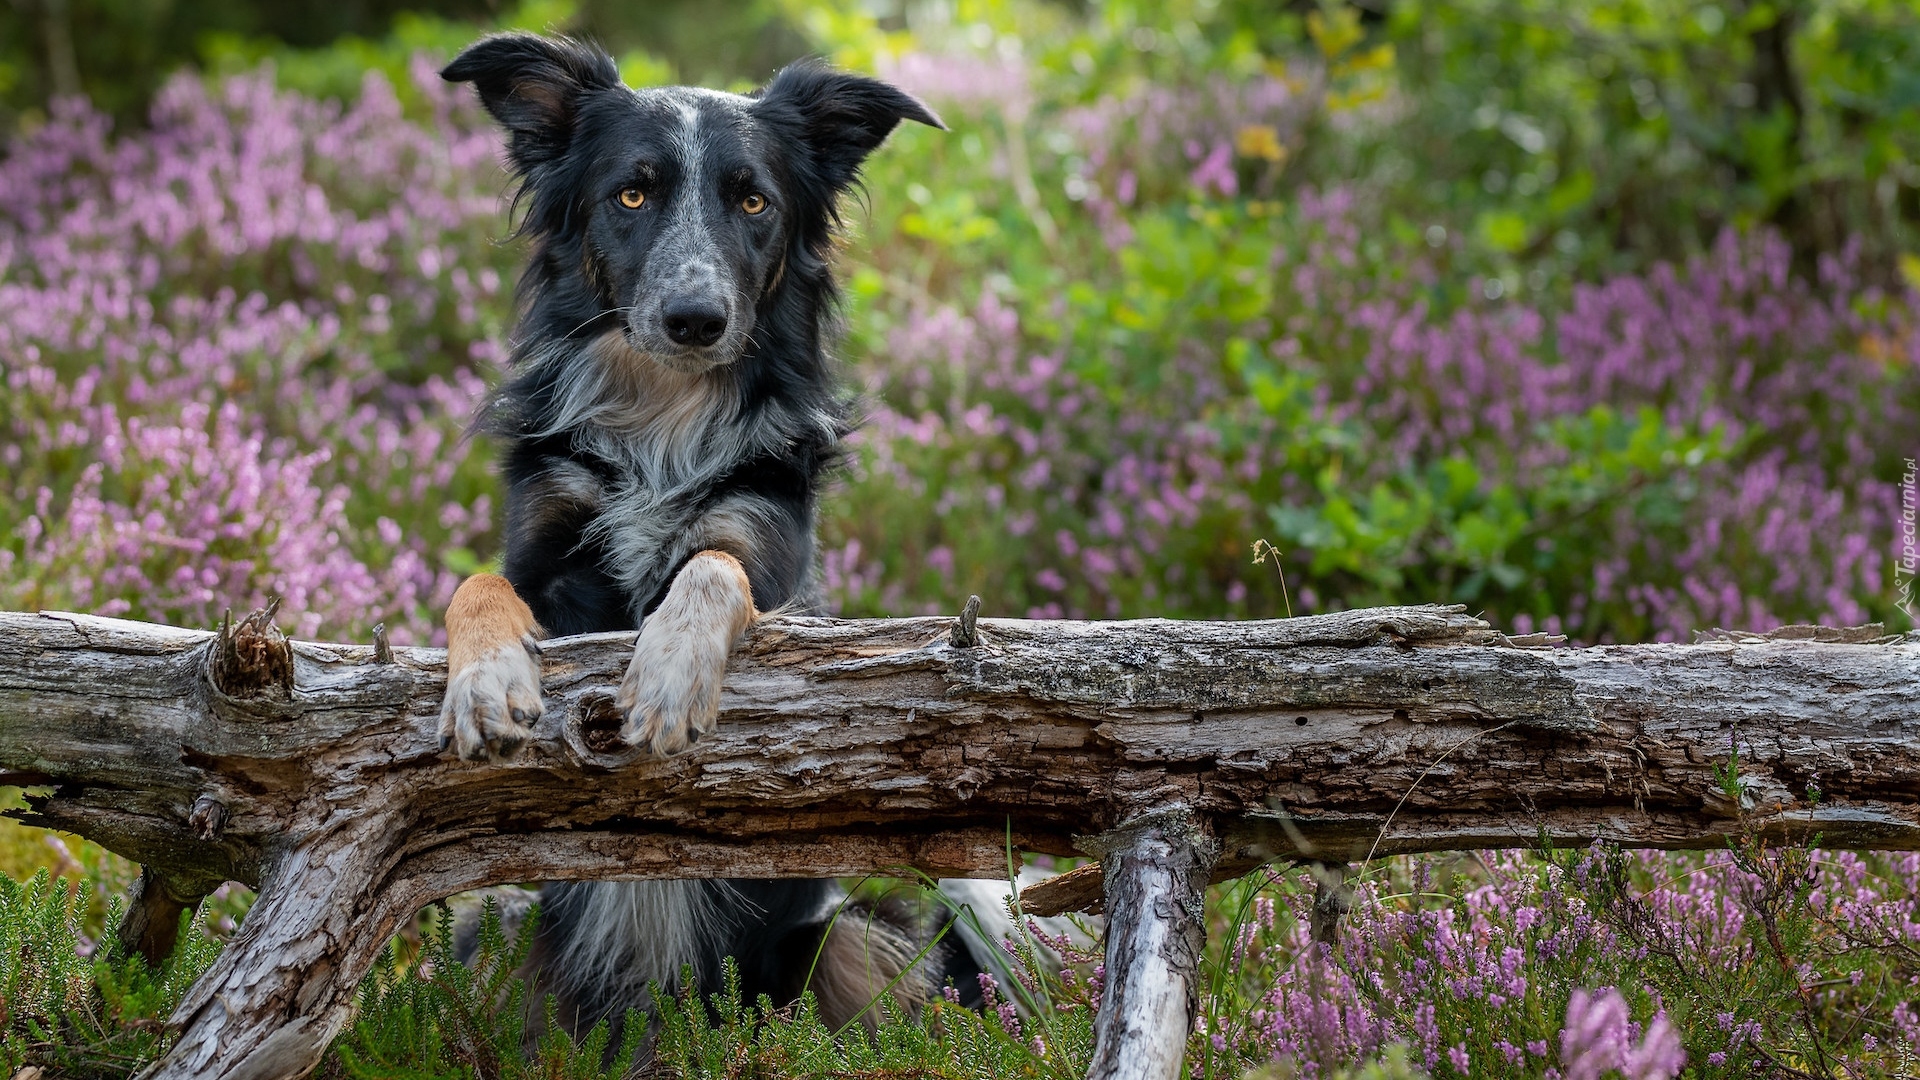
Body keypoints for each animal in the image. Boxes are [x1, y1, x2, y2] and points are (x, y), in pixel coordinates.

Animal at [433, 31, 975, 1022]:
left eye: (754, 201)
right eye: (632, 194)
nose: (696, 320)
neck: (662, 421)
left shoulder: (767, 543)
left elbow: (711, 566)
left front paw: (669, 674)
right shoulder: (543, 549)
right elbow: (477, 582)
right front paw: (486, 682)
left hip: (836, 942)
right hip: (501, 930)